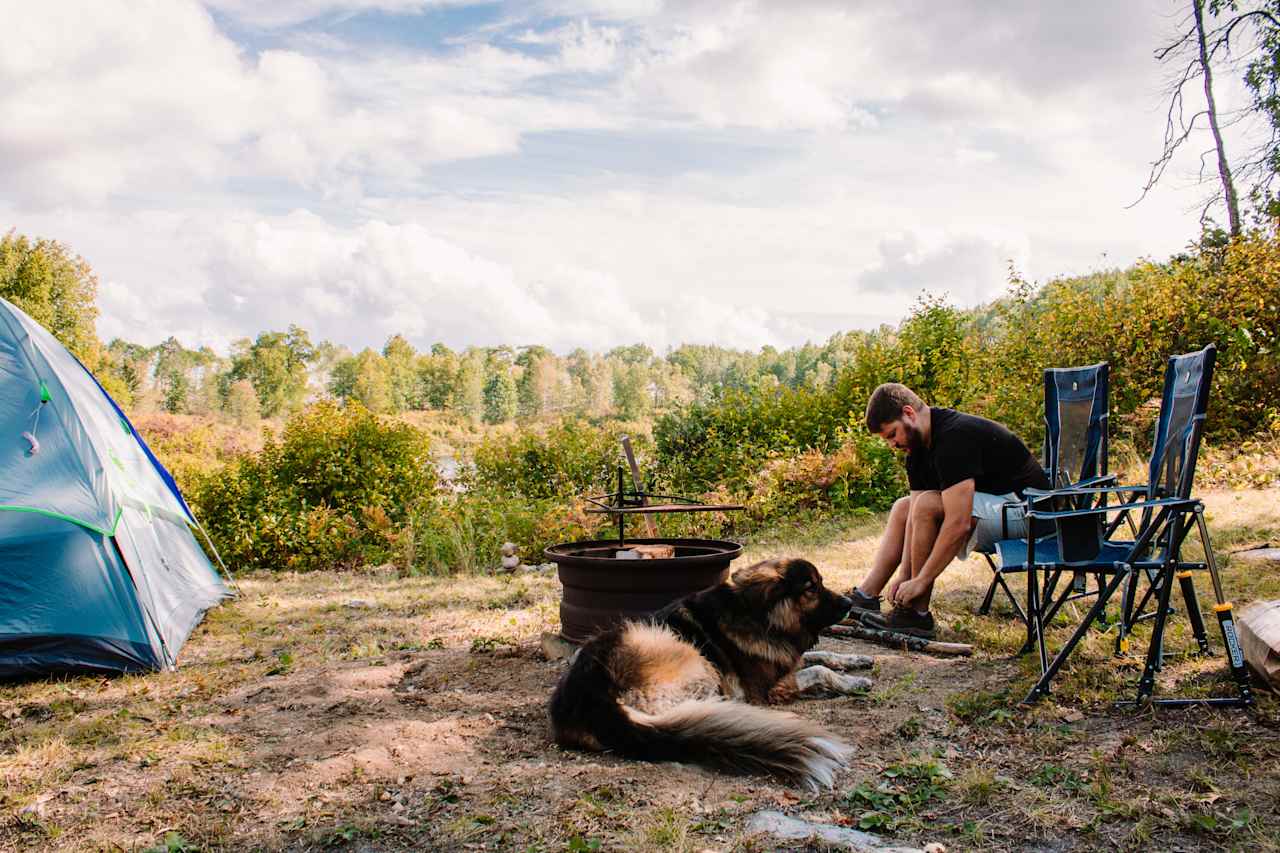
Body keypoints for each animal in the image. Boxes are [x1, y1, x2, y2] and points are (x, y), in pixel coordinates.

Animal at [545, 555, 865, 788]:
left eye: (821, 582)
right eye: (811, 588)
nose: (850, 603)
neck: (762, 615)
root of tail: (594, 700)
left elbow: (821, 655)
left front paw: (858, 661)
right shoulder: (771, 687)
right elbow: (818, 669)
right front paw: (852, 682)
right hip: (683, 651)